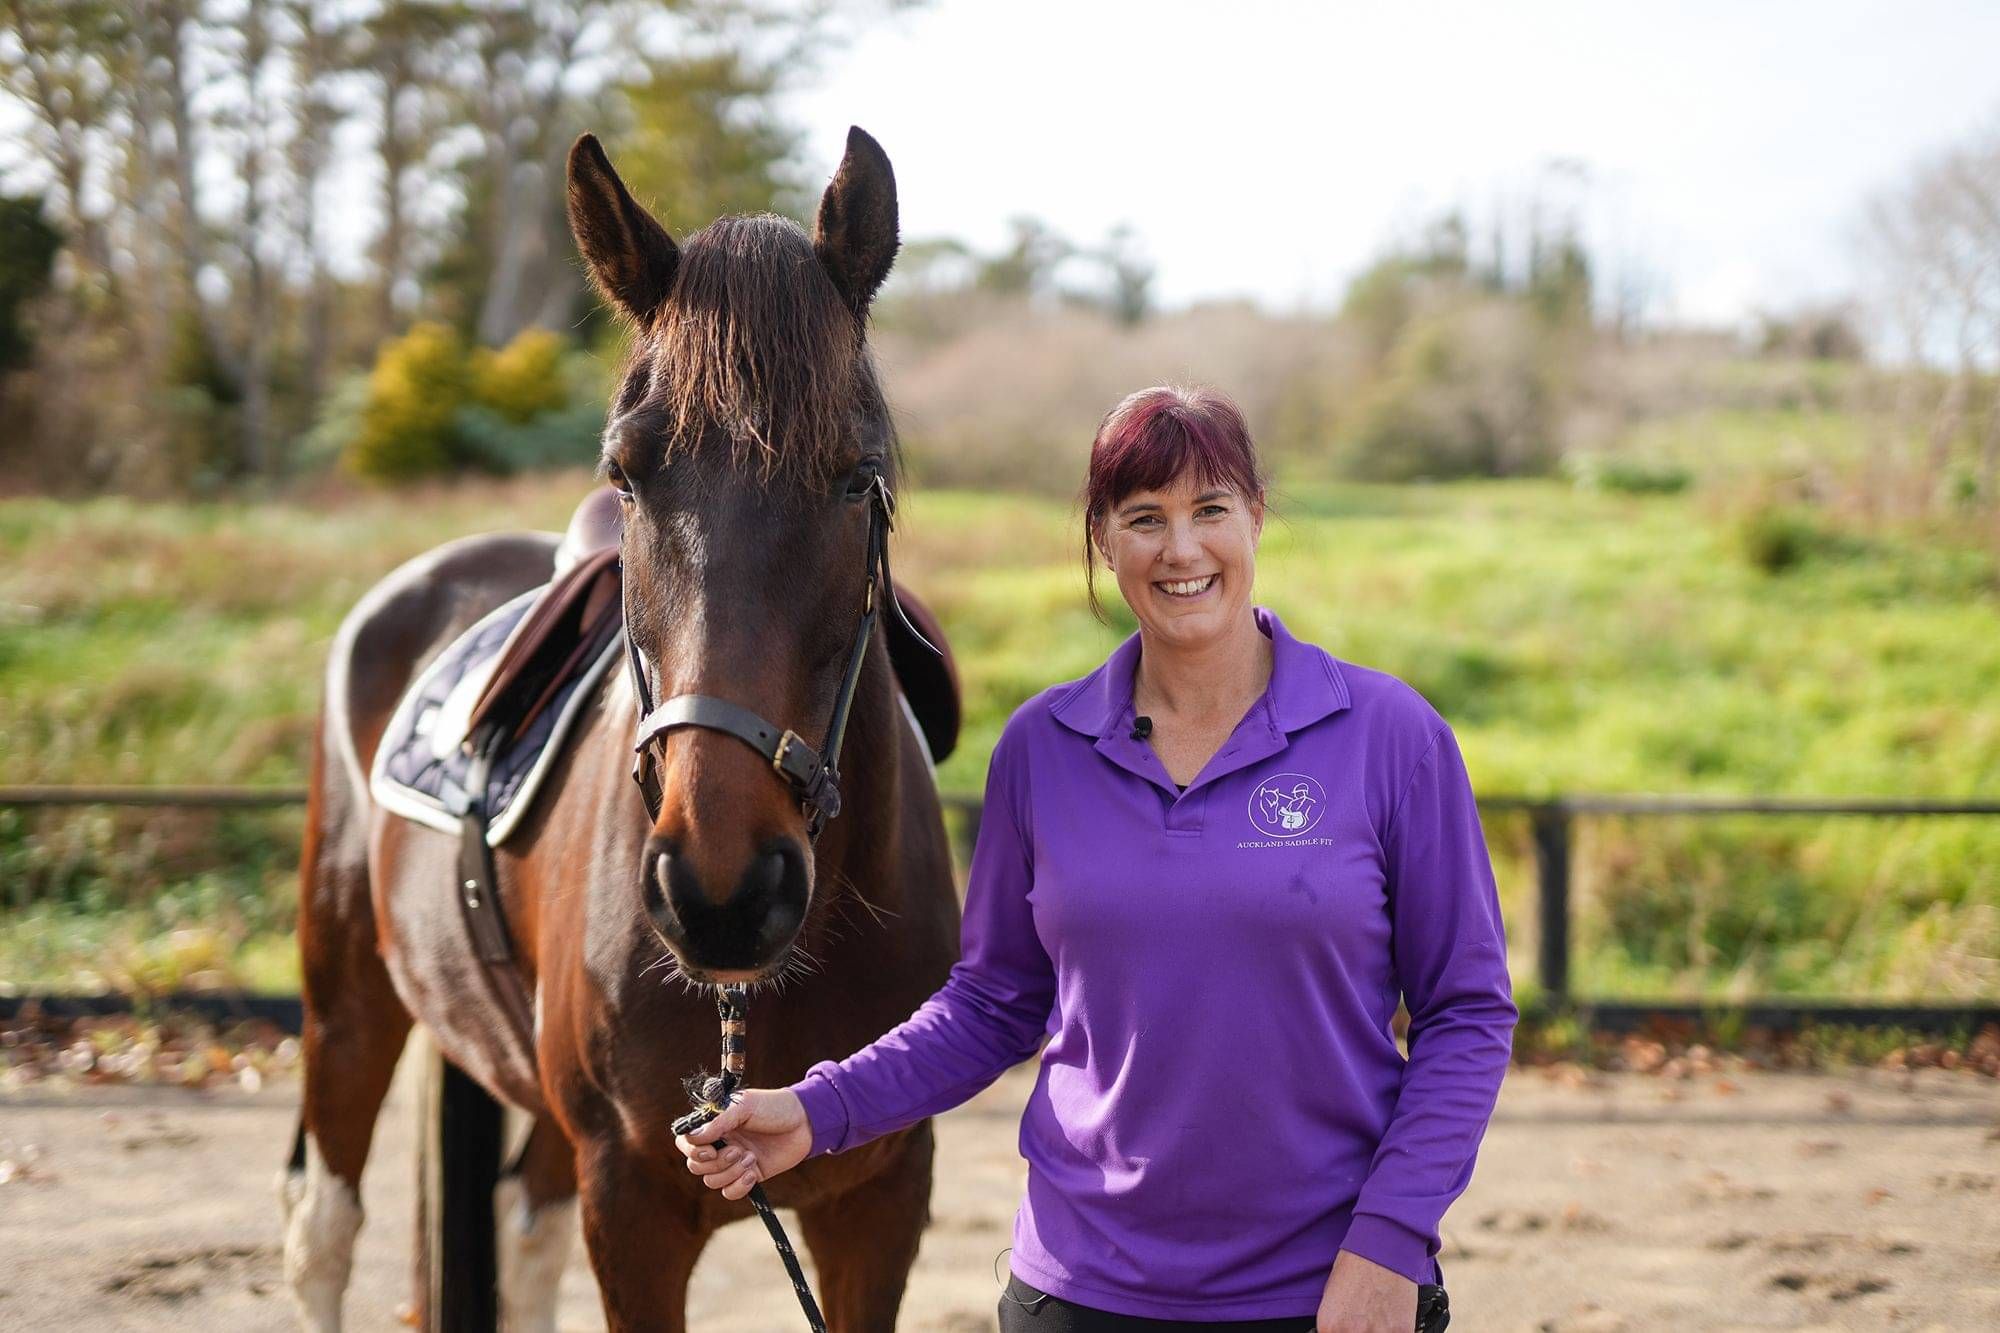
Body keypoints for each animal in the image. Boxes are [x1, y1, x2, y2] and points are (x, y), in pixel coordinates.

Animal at [279, 127, 961, 1332]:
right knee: (325, 1230)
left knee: (522, 1227)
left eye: (857, 478)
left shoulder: (879, 1199)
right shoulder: (632, 1202)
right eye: (626, 476)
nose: (721, 889)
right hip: (348, 1001)